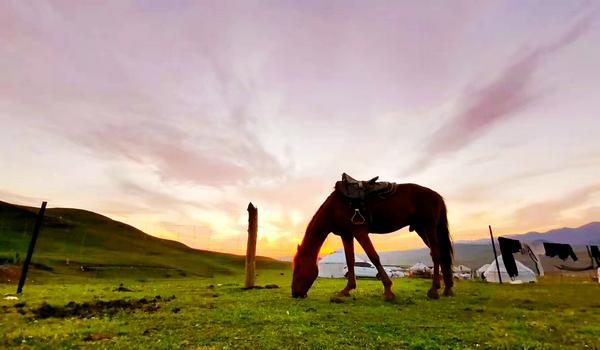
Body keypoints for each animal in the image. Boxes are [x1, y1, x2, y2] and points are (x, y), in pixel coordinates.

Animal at [292, 174, 454, 300]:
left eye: (299, 266)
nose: (295, 293)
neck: (335, 207)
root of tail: (437, 196)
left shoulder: (359, 231)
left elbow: (373, 256)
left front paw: (388, 291)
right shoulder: (347, 235)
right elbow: (350, 261)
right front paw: (347, 289)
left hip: (429, 227)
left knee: (436, 254)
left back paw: (434, 290)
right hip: (422, 229)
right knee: (441, 254)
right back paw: (447, 289)